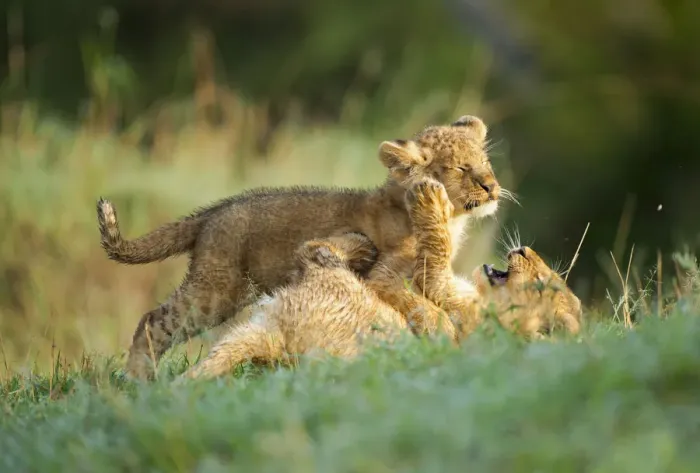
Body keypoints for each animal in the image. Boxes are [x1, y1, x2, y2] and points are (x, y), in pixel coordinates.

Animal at [97, 115, 504, 379]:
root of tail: (215, 210)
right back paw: (136, 383)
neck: (453, 219)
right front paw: (443, 338)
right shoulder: (383, 277)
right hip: (215, 291)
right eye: (460, 168)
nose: (492, 187)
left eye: (485, 162)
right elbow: (424, 307)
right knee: (154, 321)